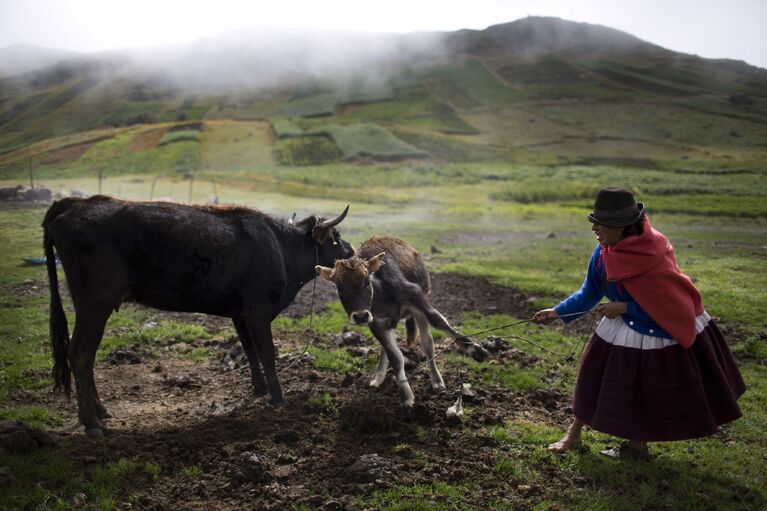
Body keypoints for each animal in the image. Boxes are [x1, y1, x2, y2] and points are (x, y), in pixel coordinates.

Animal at [43, 196, 352, 436]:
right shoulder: (258, 312)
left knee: (84, 355)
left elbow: (249, 351)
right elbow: (266, 353)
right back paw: (91, 421)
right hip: (95, 305)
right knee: (81, 354)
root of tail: (77, 202)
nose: (351, 251)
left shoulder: (240, 314)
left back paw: (101, 410)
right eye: (336, 239)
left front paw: (259, 389)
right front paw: (278, 398)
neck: (280, 247)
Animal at [316, 236, 486, 412]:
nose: (361, 315)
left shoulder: (416, 297)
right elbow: (395, 357)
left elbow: (438, 322)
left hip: (418, 309)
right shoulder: (376, 322)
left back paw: (437, 380)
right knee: (387, 348)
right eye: (339, 288)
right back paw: (378, 377)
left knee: (427, 343)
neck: (381, 296)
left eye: (366, 282)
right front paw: (406, 395)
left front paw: (475, 349)